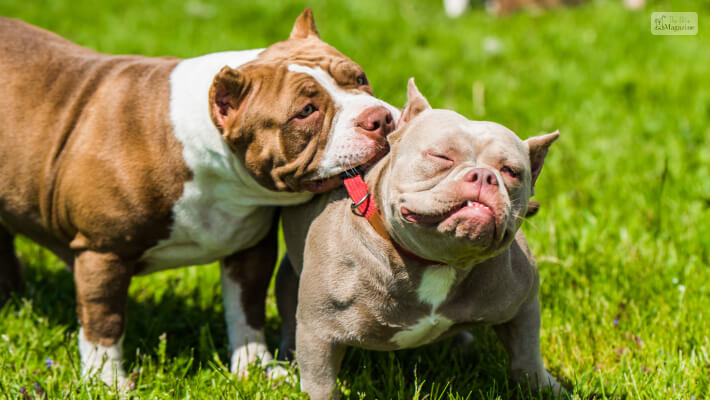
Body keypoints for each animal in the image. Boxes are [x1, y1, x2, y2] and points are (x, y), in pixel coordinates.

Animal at [0, 8, 400, 384]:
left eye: (360, 78)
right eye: (305, 112)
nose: (380, 118)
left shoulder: (249, 249)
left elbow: (246, 310)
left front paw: (255, 368)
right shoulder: (102, 252)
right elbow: (104, 322)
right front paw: (107, 381)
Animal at [278, 79, 560, 398]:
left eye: (511, 171)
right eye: (440, 157)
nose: (483, 175)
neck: (438, 262)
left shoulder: (524, 305)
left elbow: (527, 359)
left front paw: (547, 388)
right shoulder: (319, 333)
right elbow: (322, 385)